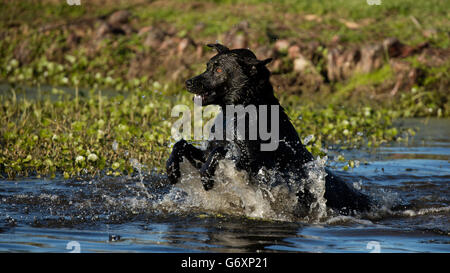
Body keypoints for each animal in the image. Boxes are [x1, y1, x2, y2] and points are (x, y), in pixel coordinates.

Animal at [167, 43, 370, 215]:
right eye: (207, 66)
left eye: (218, 69)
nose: (188, 82)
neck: (238, 112)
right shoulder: (207, 152)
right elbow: (181, 144)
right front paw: (172, 170)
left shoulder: (251, 165)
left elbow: (220, 151)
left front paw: (206, 177)